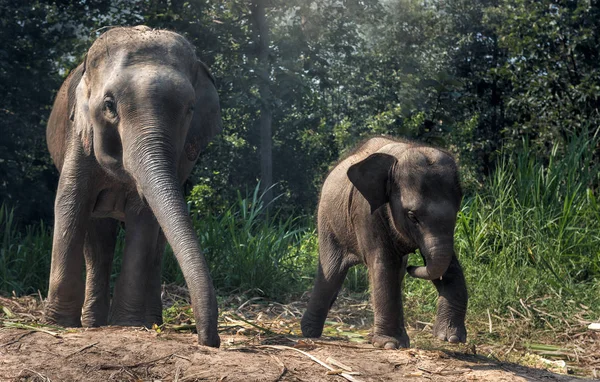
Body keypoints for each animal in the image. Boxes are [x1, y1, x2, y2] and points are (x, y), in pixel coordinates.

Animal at [45, 25, 223, 348]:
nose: (211, 340)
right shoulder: (79, 135)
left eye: (190, 108)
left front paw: (128, 324)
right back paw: (93, 323)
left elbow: (144, 216)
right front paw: (58, 324)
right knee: (97, 237)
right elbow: (70, 202)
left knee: (157, 241)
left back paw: (147, 321)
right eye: (109, 105)